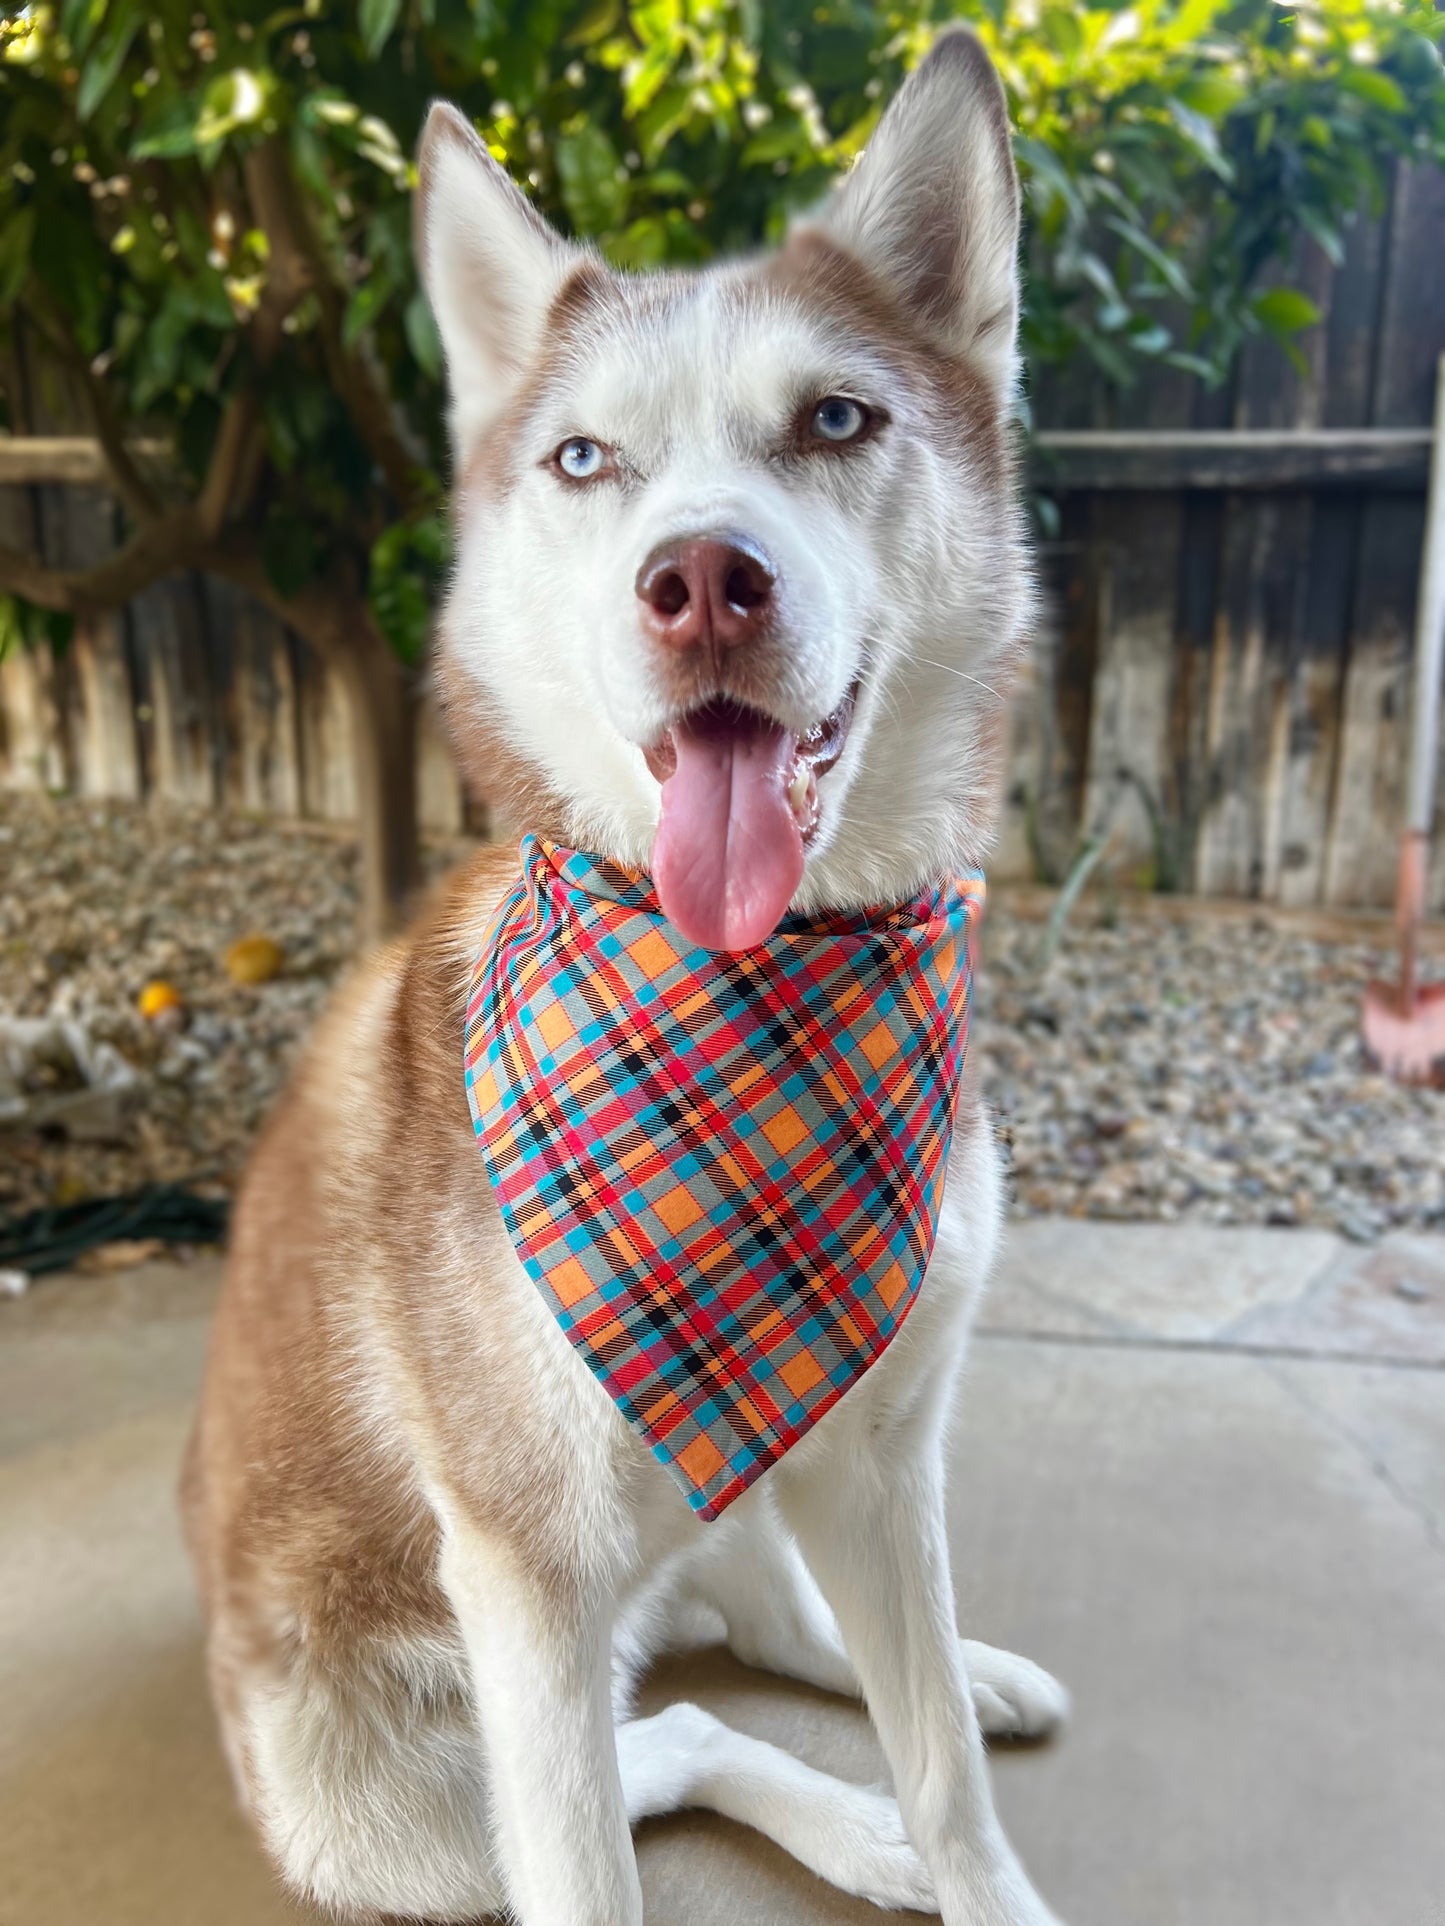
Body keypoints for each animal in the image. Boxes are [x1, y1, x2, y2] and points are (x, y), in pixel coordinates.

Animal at [181, 33, 1071, 1926]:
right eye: (586, 458)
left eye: (836, 419)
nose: (703, 580)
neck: (754, 988)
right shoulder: (527, 1578)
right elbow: (591, 1860)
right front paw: (901, 1825)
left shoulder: (884, 1446)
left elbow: (947, 1769)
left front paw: (965, 1830)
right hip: (380, 1792)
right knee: (677, 1734)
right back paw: (849, 1822)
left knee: (781, 1636)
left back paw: (949, 1695)